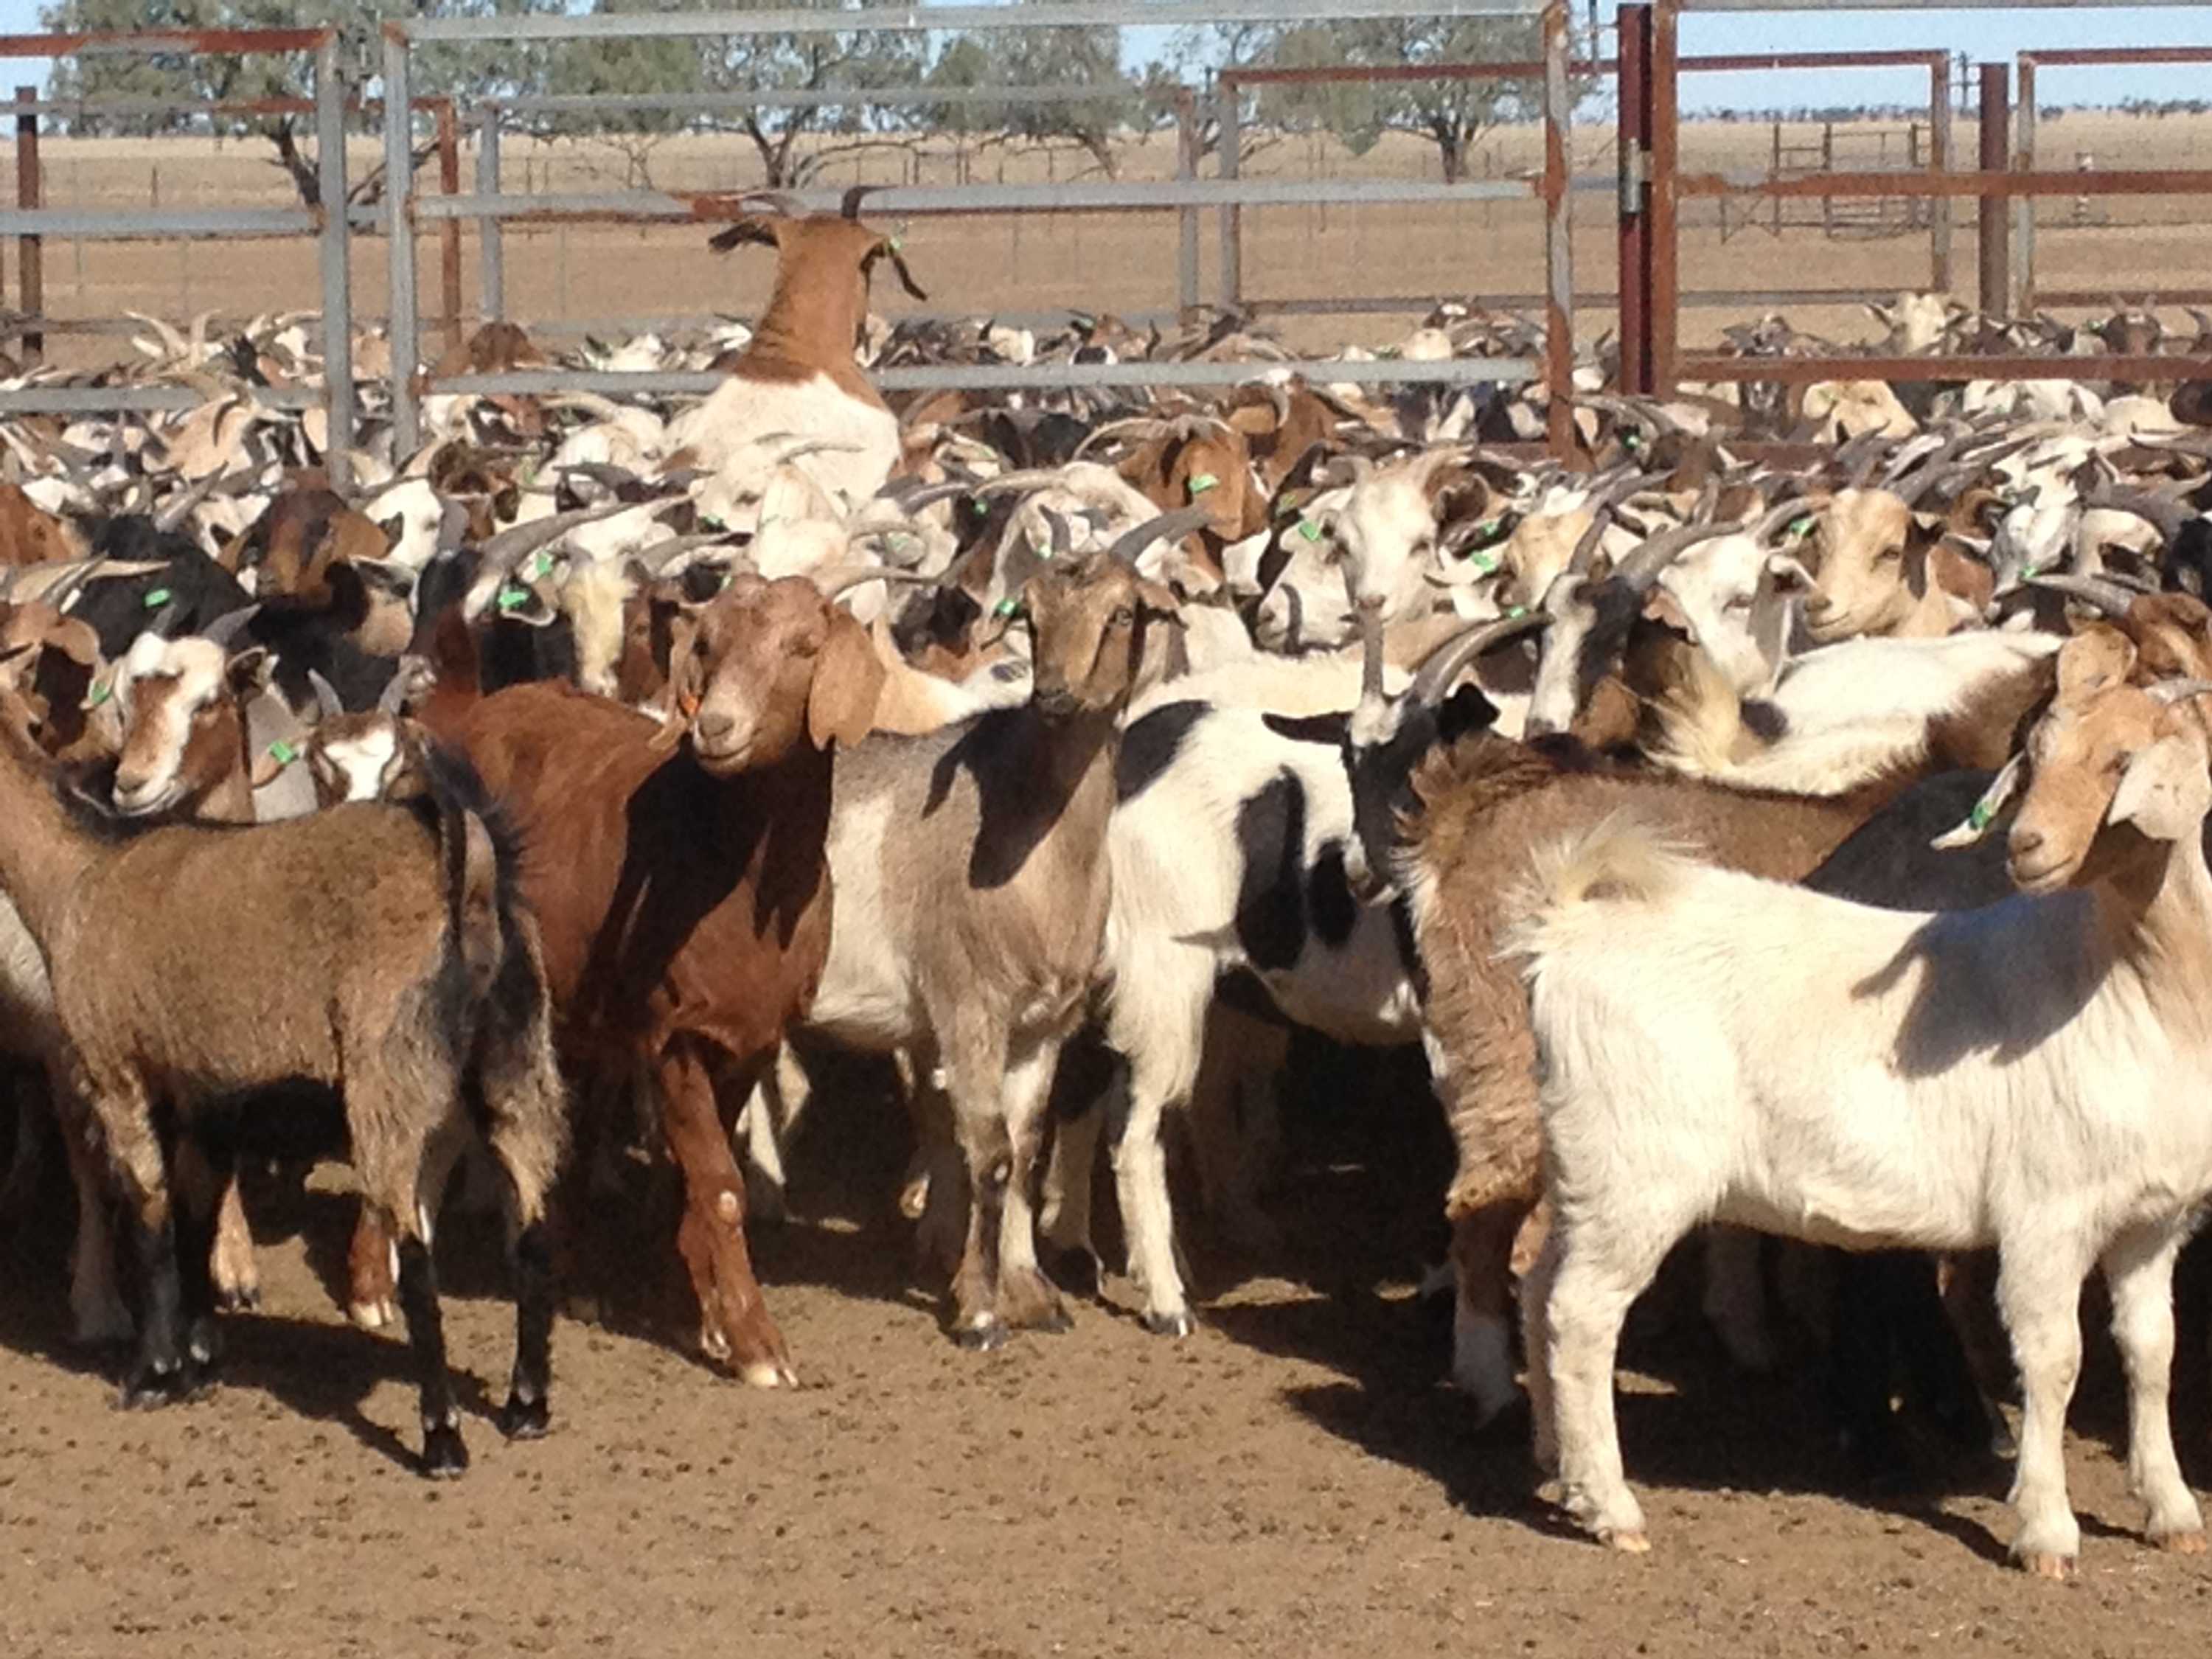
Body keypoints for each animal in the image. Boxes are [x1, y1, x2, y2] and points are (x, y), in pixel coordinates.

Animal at [1509, 654, 2212, 1574]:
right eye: (2035, 756)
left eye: (2123, 761)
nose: (2026, 846)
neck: (2127, 986)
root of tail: (1566, 931)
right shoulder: (2047, 1212)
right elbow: (2054, 1360)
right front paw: (2047, 1530)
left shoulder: (2154, 1221)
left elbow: (2152, 1351)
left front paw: (2170, 1508)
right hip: (1639, 1171)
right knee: (1584, 1315)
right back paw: (1613, 1506)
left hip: (1586, 1165)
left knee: (1538, 1282)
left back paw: (1555, 1467)